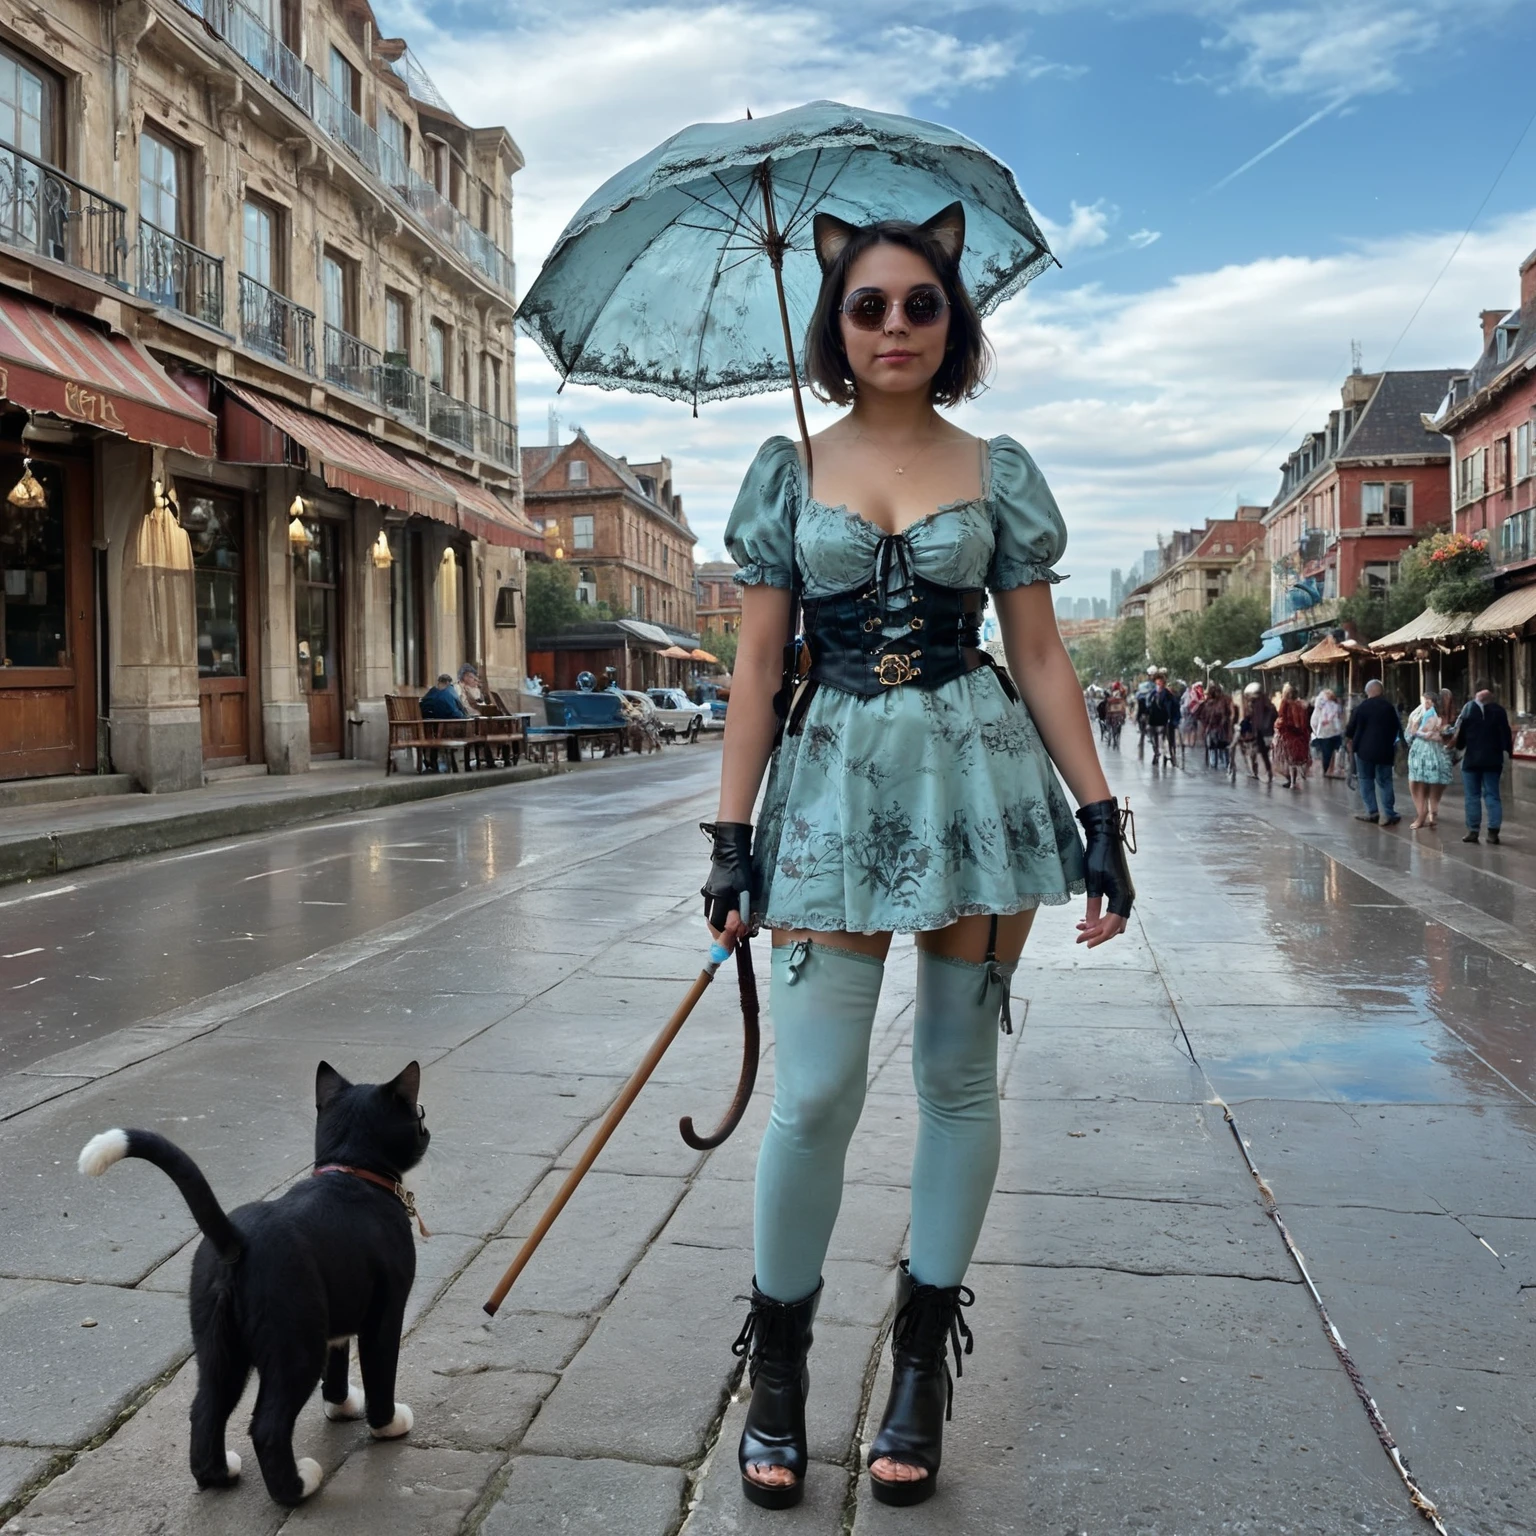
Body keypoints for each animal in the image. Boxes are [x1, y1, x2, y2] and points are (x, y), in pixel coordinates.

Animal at [82, 1062, 433, 1505]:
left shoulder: (337, 1318)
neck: (350, 1169)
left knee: (205, 1408)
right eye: (418, 1113)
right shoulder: (385, 1314)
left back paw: (218, 1474)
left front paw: (341, 1407)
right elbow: (379, 1371)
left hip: (219, 1346)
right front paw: (386, 1425)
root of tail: (237, 1239)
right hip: (296, 1345)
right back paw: (299, 1486)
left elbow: (337, 1368)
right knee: (267, 1426)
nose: (427, 1130)